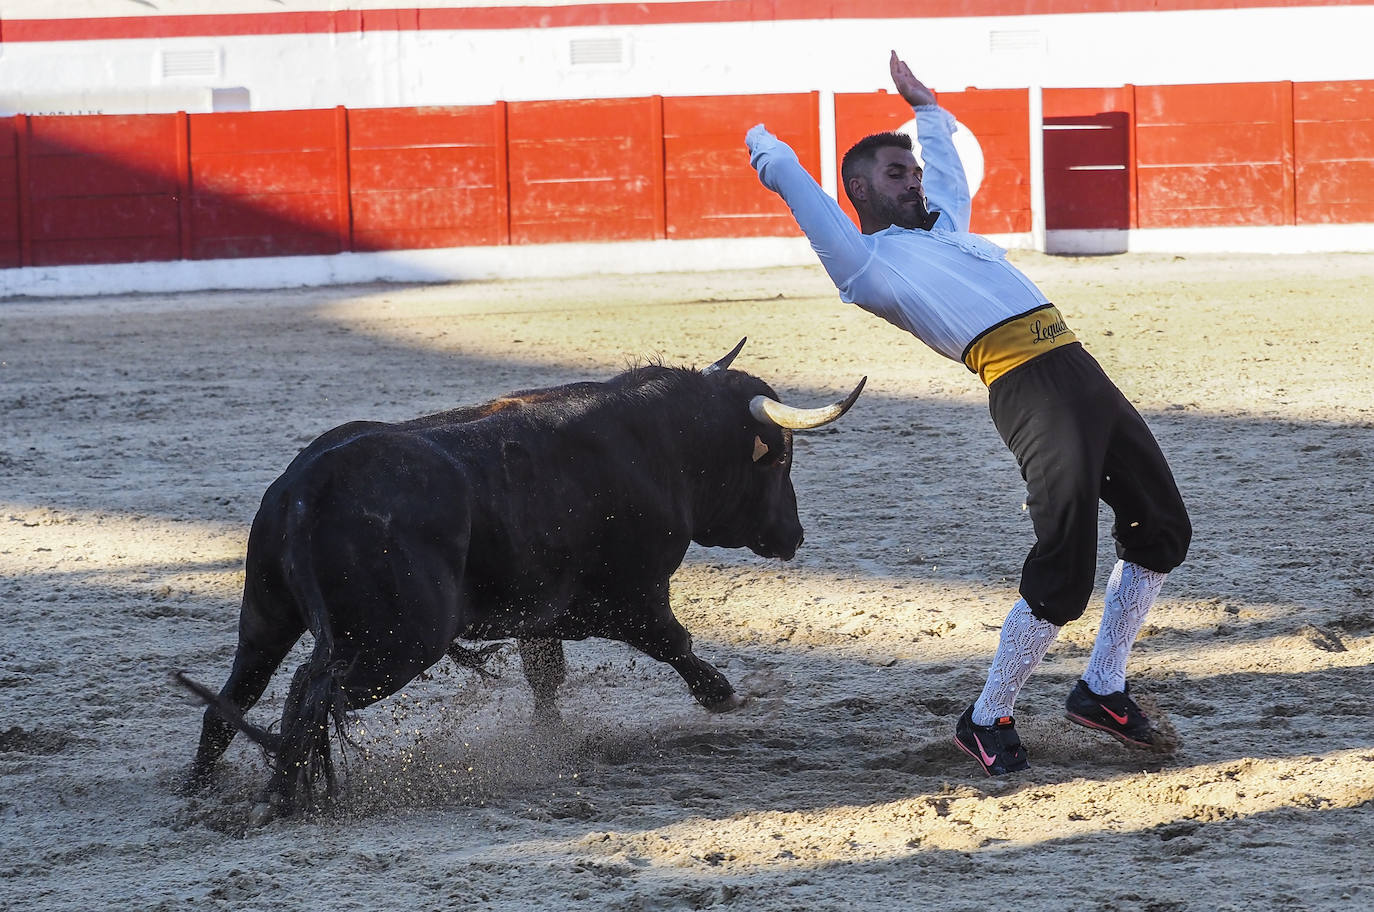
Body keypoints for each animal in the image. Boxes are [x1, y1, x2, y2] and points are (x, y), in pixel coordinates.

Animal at [177, 340, 862, 818]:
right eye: (779, 458)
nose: (794, 536)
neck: (658, 445)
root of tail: (309, 484)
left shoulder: (542, 612)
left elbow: (546, 677)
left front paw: (549, 741)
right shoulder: (630, 599)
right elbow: (677, 644)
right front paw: (727, 696)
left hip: (267, 617)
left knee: (237, 697)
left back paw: (200, 789)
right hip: (399, 643)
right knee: (308, 693)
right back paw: (275, 799)